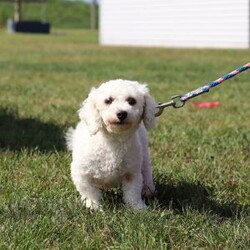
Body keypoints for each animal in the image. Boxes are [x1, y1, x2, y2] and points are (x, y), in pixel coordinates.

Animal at [66, 79, 156, 209]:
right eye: (108, 100)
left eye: (132, 101)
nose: (122, 113)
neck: (113, 139)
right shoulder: (82, 174)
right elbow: (89, 192)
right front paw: (93, 207)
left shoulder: (131, 172)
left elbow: (133, 193)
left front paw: (138, 208)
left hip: (143, 153)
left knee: (146, 170)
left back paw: (148, 189)